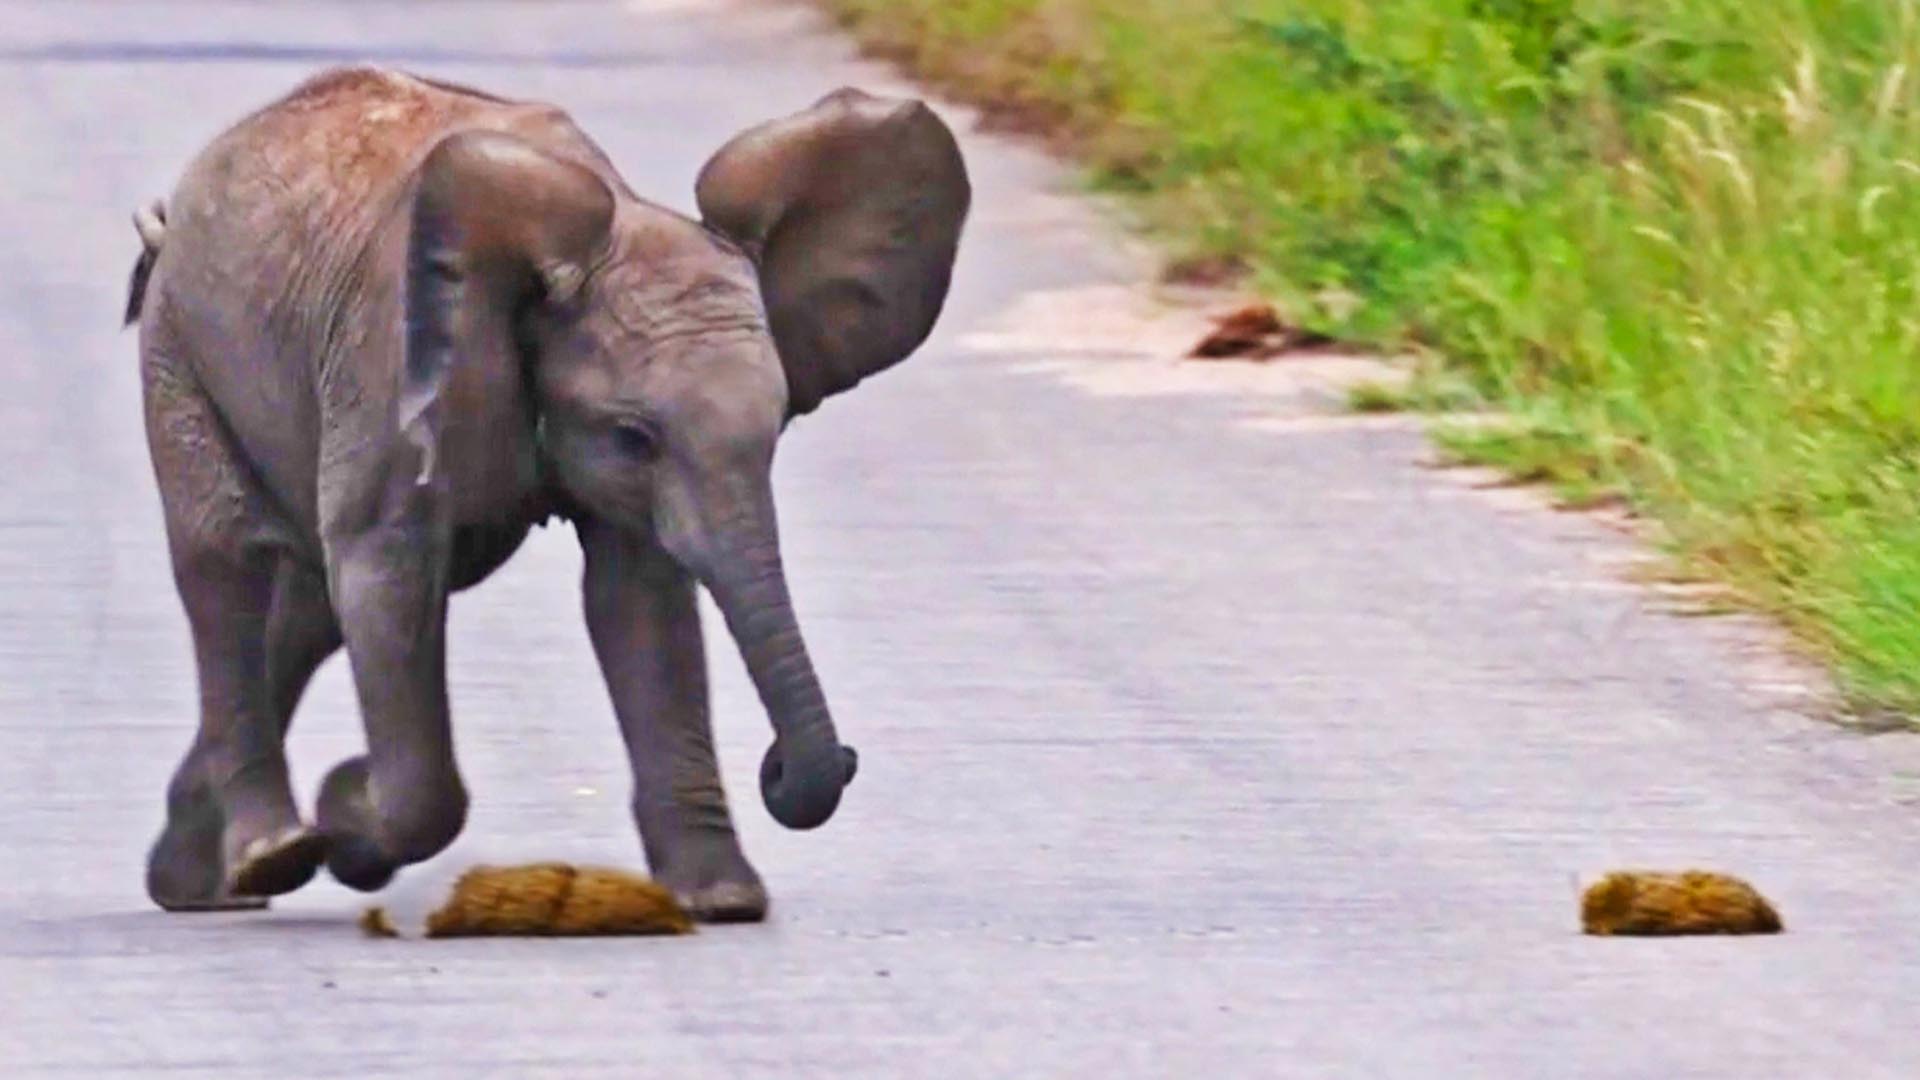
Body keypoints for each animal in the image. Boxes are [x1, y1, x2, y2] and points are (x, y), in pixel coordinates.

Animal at [122, 66, 969, 922]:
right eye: (634, 437)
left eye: (778, 426)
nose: (787, 765)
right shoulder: (385, 361)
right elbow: (385, 576)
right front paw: (348, 813)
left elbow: (638, 601)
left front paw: (722, 900)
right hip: (178, 347)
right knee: (228, 569)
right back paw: (270, 855)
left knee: (304, 608)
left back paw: (196, 881)